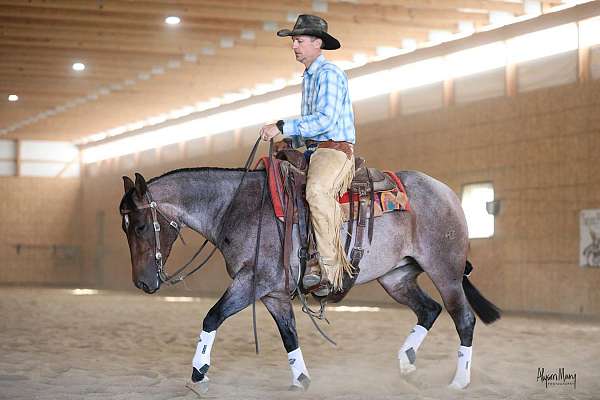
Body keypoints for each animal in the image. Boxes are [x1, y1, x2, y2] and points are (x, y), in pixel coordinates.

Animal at [118, 165, 502, 394]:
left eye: (140, 227)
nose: (142, 284)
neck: (236, 207)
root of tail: (446, 192)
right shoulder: (272, 293)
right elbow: (289, 335)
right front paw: (301, 378)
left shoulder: (251, 281)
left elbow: (212, 317)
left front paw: (199, 373)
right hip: (397, 277)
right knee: (429, 310)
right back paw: (406, 363)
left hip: (445, 270)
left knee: (463, 318)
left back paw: (459, 381)